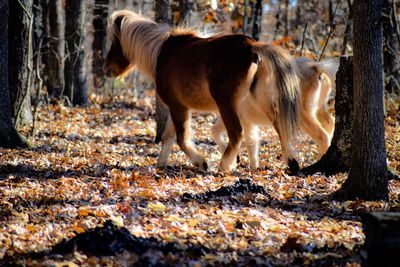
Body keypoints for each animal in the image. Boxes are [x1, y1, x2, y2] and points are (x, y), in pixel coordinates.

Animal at [104, 9, 300, 172]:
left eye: (115, 42)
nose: (107, 69)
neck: (161, 53)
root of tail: (252, 46)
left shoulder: (178, 107)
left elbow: (182, 139)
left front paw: (202, 162)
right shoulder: (177, 107)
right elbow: (168, 136)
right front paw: (161, 163)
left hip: (227, 104)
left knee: (236, 133)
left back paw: (224, 166)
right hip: (256, 101)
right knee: (278, 123)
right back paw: (291, 161)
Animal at [211, 56, 340, 170]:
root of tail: (316, 67)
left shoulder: (240, 118)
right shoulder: (246, 121)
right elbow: (250, 141)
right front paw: (251, 166)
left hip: (300, 113)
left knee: (323, 135)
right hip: (319, 108)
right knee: (330, 123)